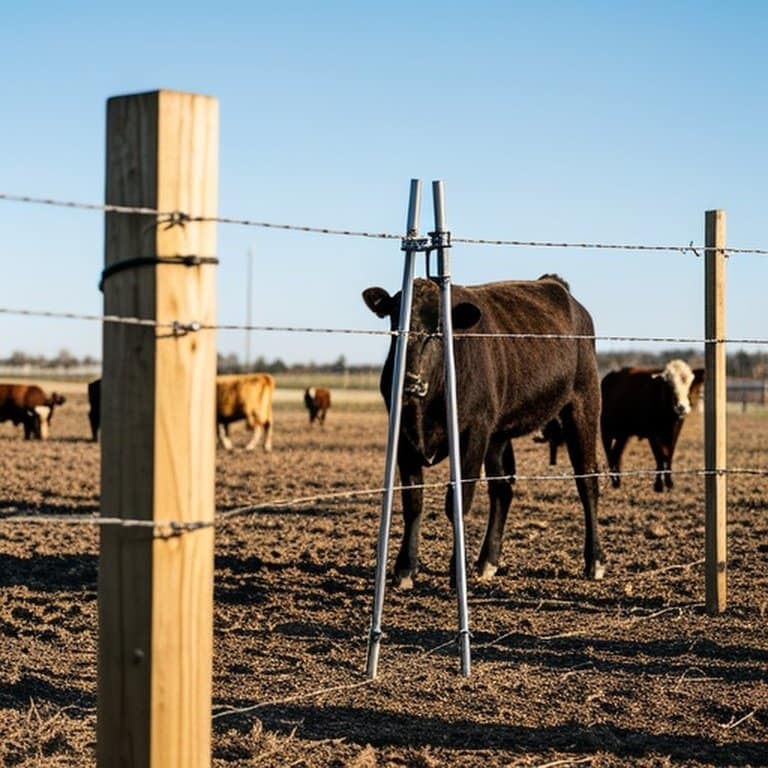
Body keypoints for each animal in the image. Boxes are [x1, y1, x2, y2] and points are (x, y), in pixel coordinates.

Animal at [363, 274, 605, 588]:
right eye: (395, 322)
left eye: (440, 328)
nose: (410, 381)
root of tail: (555, 284)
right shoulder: (404, 439)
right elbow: (413, 502)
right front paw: (404, 569)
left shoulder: (472, 434)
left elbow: (459, 502)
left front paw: (457, 572)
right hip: (498, 436)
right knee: (502, 489)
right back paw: (488, 561)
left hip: (583, 405)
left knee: (587, 482)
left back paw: (595, 560)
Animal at [601, 361, 705, 492]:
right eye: (669, 386)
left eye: (690, 384)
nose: (682, 407)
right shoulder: (653, 434)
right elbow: (659, 456)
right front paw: (659, 485)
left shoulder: (675, 430)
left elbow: (669, 455)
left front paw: (669, 483)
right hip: (606, 431)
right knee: (609, 453)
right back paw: (614, 480)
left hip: (623, 435)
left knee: (616, 454)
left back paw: (618, 481)